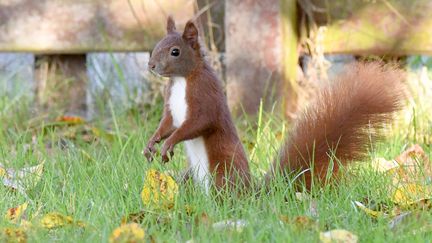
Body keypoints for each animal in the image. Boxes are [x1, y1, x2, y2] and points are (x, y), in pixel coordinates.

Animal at [143, 16, 406, 192]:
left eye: (175, 51)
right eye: (156, 45)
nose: (151, 65)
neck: (181, 80)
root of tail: (251, 196)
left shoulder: (205, 96)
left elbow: (198, 122)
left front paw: (169, 143)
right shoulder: (170, 105)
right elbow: (167, 123)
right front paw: (152, 143)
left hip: (222, 171)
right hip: (190, 175)